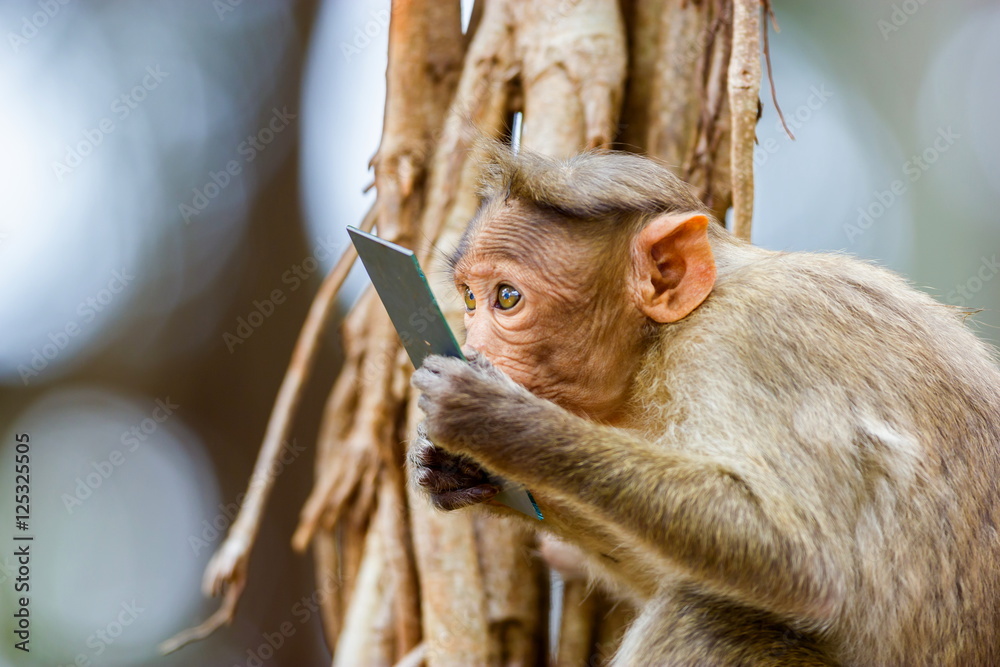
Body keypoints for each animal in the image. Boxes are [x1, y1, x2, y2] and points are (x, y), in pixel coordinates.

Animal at [408, 142, 1000, 666]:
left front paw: (496, 420)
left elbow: (803, 562)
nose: (474, 346)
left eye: (507, 298)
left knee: (705, 617)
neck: (665, 338)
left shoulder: (750, 341)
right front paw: (462, 472)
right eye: (469, 297)